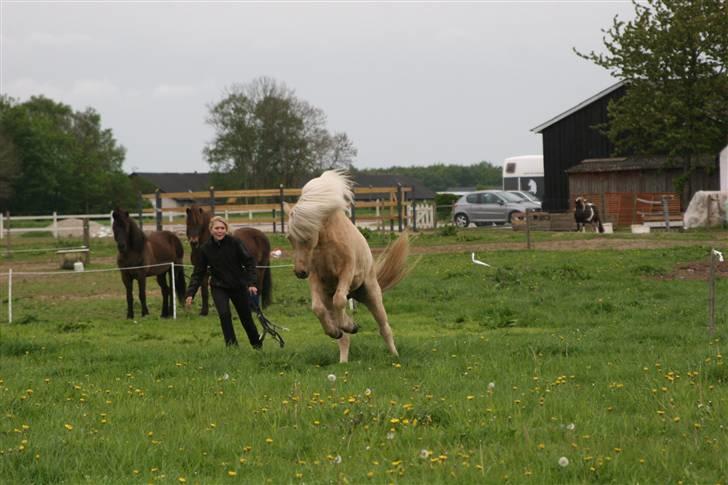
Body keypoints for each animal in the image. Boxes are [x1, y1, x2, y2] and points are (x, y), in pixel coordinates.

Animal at [286, 168, 410, 362]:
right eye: (289, 238)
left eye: (307, 238)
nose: (299, 272)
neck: (326, 242)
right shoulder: (315, 278)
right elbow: (318, 308)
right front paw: (335, 330)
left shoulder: (347, 271)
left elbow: (339, 300)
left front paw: (348, 325)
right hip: (331, 294)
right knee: (343, 335)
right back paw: (343, 356)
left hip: (371, 294)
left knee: (384, 327)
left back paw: (394, 355)